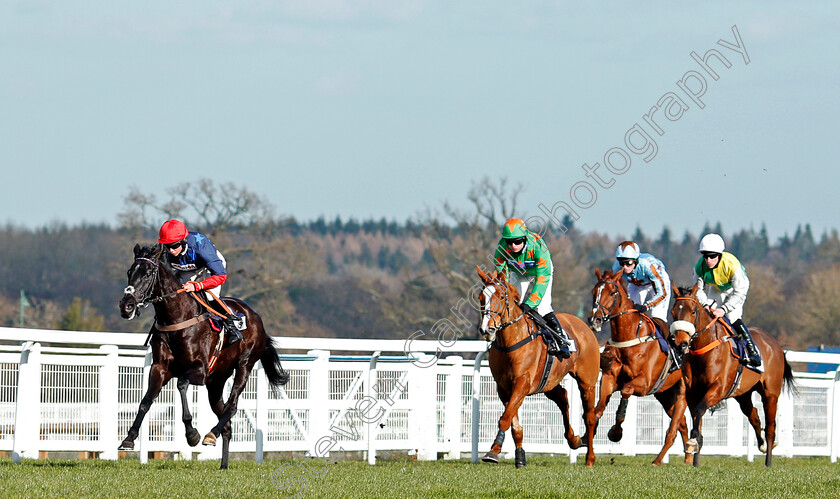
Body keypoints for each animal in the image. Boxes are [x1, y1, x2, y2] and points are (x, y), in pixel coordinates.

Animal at [116, 244, 290, 470]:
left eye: (147, 273)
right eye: (129, 272)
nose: (126, 306)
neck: (177, 319)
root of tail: (255, 317)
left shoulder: (199, 370)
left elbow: (181, 384)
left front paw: (192, 434)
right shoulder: (160, 368)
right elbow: (146, 401)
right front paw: (129, 438)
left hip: (245, 365)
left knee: (232, 406)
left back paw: (210, 434)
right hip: (216, 382)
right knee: (227, 421)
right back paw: (223, 463)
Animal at [476, 268, 600, 466]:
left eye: (501, 296)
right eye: (481, 297)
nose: (487, 329)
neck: (510, 342)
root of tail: (583, 325)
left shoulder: (523, 382)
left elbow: (505, 419)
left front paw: (493, 451)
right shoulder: (503, 388)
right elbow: (514, 423)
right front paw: (518, 457)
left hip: (587, 382)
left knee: (589, 417)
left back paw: (589, 458)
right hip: (549, 382)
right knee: (563, 398)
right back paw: (573, 439)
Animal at [588, 272, 692, 466]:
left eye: (612, 292)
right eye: (594, 292)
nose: (594, 319)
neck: (629, 337)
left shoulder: (644, 384)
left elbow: (626, 391)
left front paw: (615, 432)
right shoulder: (609, 378)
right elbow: (598, 410)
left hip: (681, 394)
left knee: (673, 429)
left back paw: (658, 460)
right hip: (665, 396)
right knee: (682, 424)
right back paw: (688, 457)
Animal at [668, 286, 796, 468]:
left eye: (693, 311)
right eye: (673, 312)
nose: (680, 344)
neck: (704, 351)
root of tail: (776, 344)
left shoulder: (718, 389)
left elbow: (700, 410)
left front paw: (693, 443)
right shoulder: (693, 393)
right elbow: (697, 417)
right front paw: (696, 456)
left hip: (770, 393)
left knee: (770, 428)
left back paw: (768, 461)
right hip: (743, 395)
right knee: (754, 416)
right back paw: (762, 445)